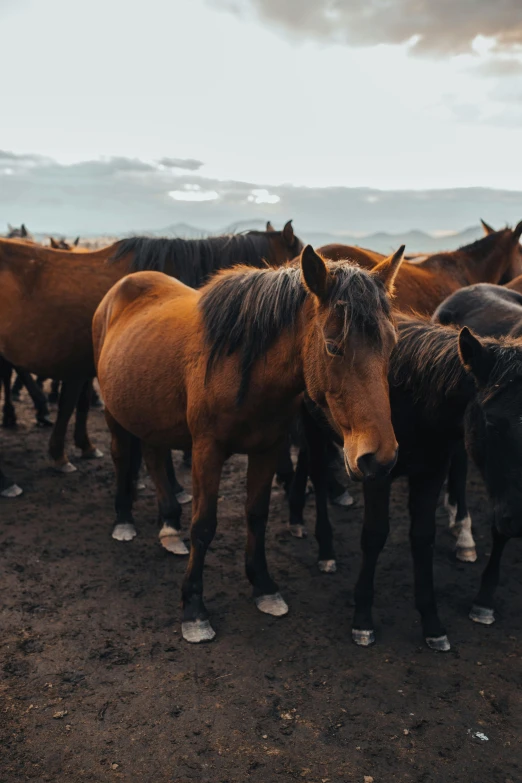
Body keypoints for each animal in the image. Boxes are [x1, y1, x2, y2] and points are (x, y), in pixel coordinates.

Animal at [92, 245, 402, 644]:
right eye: (333, 346)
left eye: (391, 345)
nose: (380, 458)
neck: (244, 365)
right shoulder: (206, 451)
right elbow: (203, 525)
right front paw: (194, 608)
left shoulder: (268, 449)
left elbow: (257, 515)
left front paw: (264, 586)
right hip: (114, 412)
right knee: (121, 456)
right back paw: (124, 521)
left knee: (154, 457)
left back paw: (169, 526)